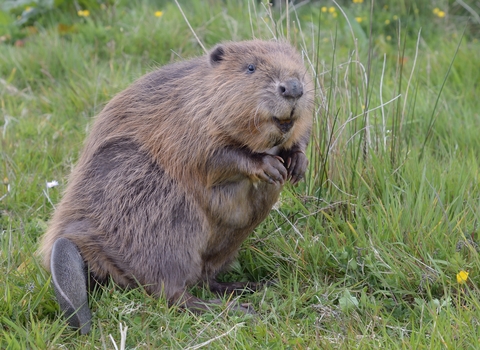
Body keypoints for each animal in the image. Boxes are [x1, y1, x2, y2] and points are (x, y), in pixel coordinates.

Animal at [38, 39, 316, 334]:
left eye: (297, 62)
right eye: (250, 67)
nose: (293, 88)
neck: (199, 92)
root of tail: (72, 241)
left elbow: (302, 133)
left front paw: (297, 163)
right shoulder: (186, 118)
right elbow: (213, 156)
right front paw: (269, 166)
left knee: (205, 277)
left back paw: (252, 285)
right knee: (170, 290)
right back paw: (234, 308)